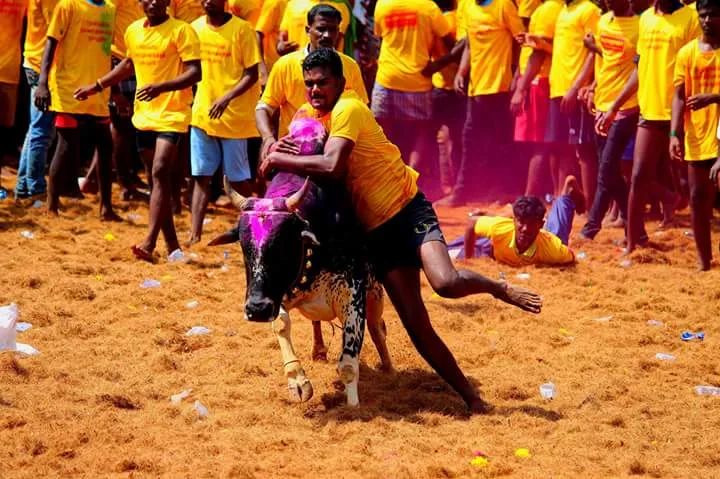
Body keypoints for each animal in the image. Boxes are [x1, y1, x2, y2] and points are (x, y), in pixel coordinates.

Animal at [211, 173, 392, 407]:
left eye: (283, 245)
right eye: (244, 247)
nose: (257, 309)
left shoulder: (353, 299)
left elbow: (349, 364)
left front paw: (353, 407)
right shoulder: (278, 297)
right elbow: (282, 324)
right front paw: (297, 382)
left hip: (375, 292)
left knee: (377, 327)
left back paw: (388, 367)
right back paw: (319, 351)